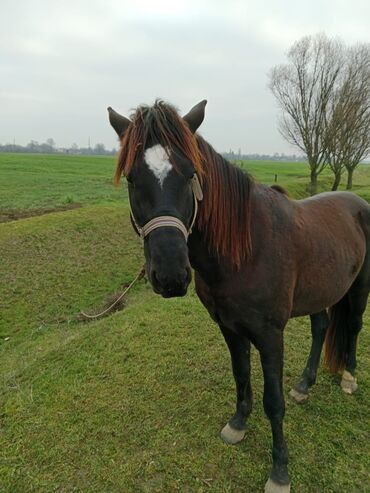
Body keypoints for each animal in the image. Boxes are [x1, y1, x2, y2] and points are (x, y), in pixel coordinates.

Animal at [107, 100, 370, 492]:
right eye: (131, 178)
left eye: (190, 173)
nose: (171, 275)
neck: (246, 248)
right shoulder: (230, 328)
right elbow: (241, 375)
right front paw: (238, 425)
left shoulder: (270, 336)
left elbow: (273, 401)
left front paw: (280, 471)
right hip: (320, 290)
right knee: (321, 327)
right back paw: (304, 384)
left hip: (359, 286)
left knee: (352, 325)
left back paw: (349, 378)